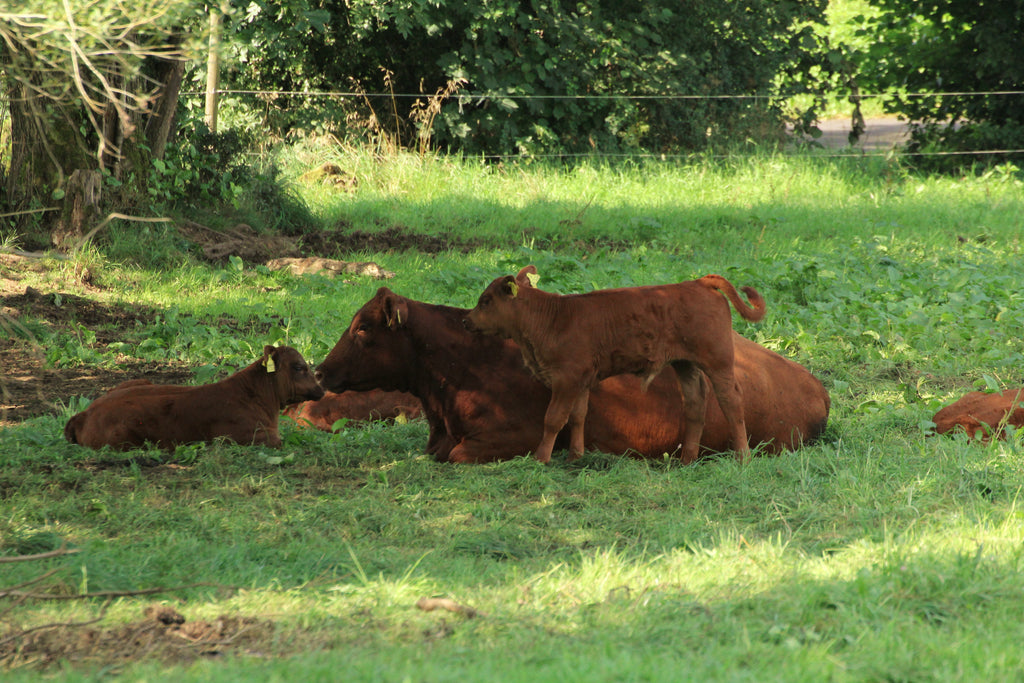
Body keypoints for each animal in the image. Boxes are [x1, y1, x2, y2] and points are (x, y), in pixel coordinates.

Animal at [462, 266, 761, 464]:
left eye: (486, 300)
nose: (466, 320)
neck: (551, 319)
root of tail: (699, 282)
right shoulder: (581, 381)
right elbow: (577, 416)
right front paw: (575, 456)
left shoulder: (566, 379)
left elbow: (554, 418)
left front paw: (541, 458)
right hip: (685, 364)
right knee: (696, 404)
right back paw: (687, 459)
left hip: (718, 362)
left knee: (732, 402)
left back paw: (743, 457)